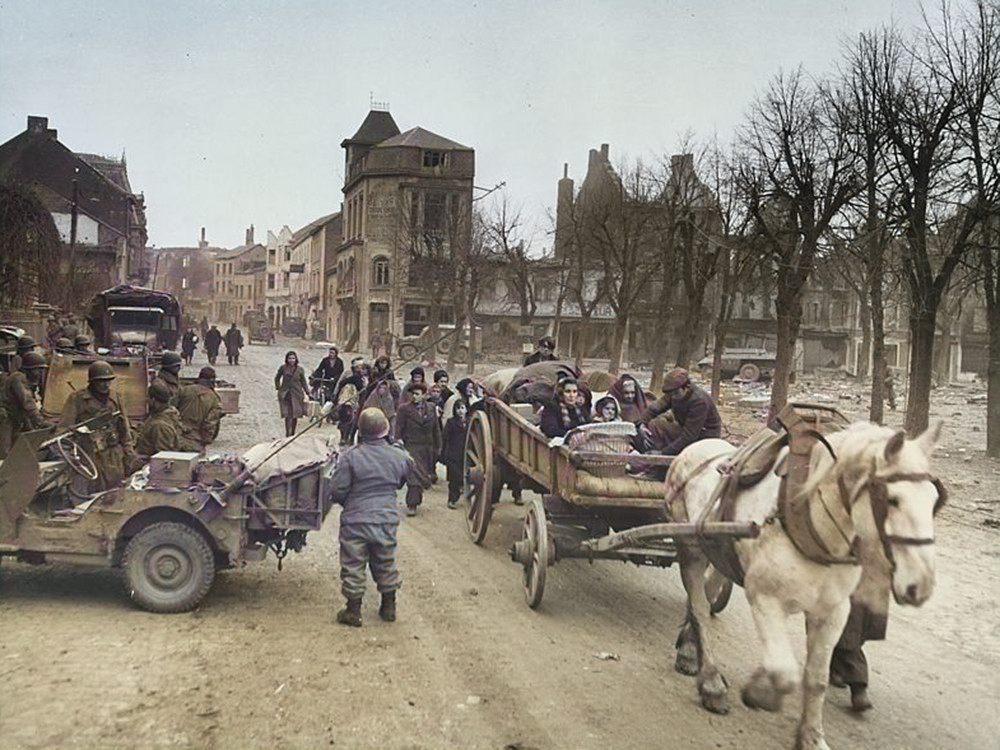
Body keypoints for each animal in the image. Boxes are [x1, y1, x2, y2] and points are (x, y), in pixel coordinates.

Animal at [668, 424, 940, 750]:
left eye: (935, 502)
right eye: (893, 500)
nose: (920, 585)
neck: (810, 524)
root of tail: (693, 449)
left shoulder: (833, 611)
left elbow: (817, 678)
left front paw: (811, 736)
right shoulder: (764, 598)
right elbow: (783, 671)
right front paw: (760, 691)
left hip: (720, 554)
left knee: (707, 595)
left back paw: (688, 648)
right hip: (691, 551)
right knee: (699, 609)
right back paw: (710, 684)